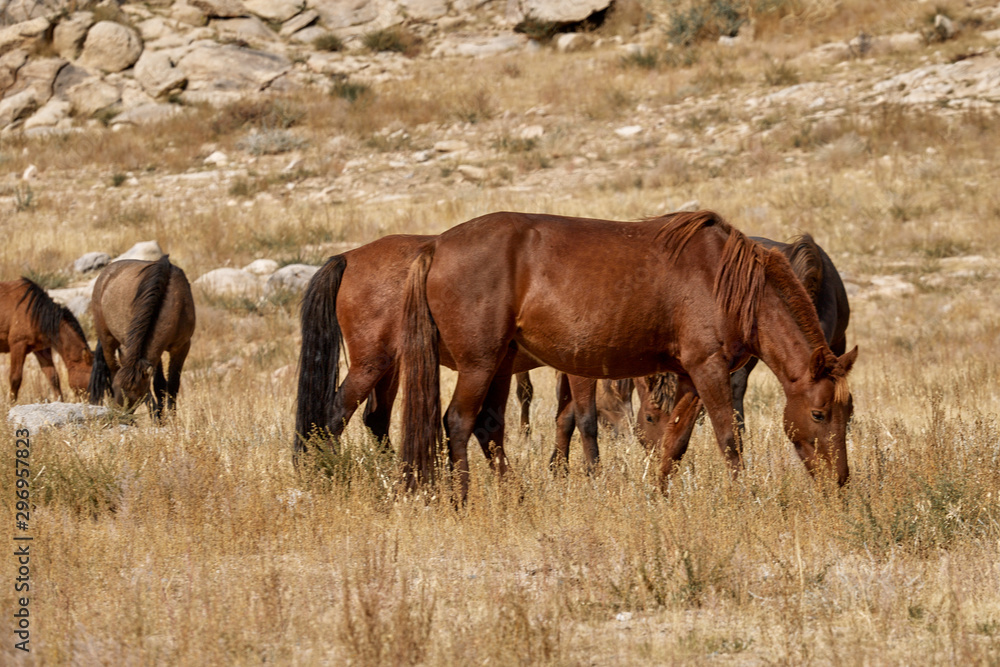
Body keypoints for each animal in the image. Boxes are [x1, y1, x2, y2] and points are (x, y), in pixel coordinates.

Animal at [88, 256, 196, 418]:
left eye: (136, 393)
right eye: (116, 387)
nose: (118, 416)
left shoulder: (182, 347)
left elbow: (172, 385)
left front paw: (171, 418)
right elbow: (158, 385)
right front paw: (158, 418)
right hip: (107, 341)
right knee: (112, 370)